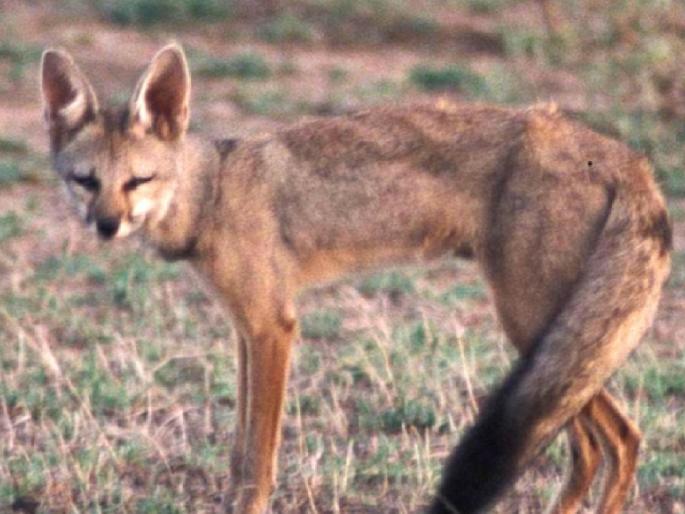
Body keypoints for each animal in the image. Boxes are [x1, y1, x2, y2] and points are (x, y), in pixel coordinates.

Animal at [40, 44, 671, 514]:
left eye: (139, 181)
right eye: (86, 181)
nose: (106, 226)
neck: (214, 194)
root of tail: (623, 155)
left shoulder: (273, 328)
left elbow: (258, 461)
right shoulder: (247, 331)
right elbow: (239, 453)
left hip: (532, 326)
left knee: (618, 439)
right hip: (549, 345)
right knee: (594, 447)